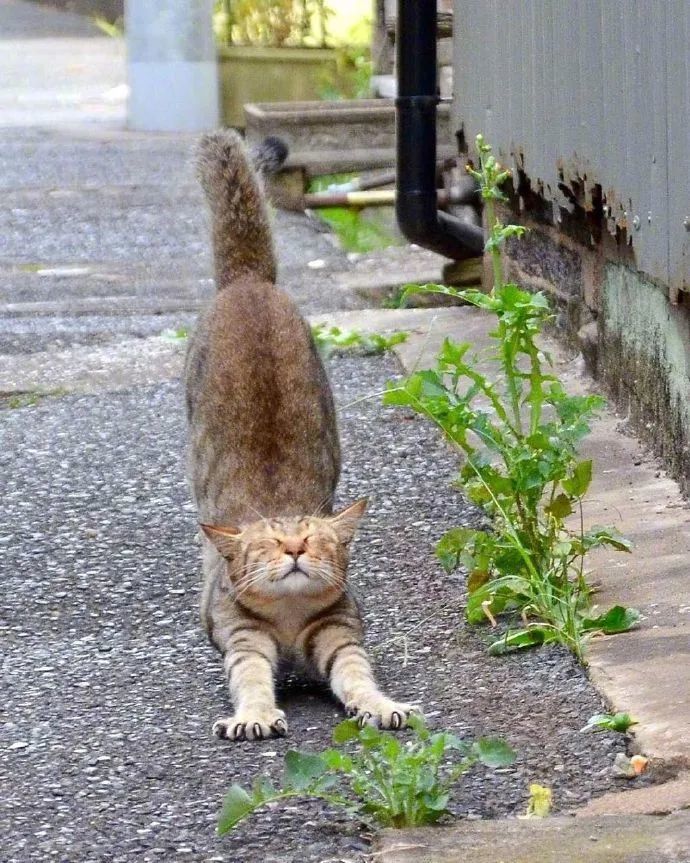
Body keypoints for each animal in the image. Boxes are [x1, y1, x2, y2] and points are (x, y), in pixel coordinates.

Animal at [183, 130, 412, 744]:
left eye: (313, 538)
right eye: (267, 544)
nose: (292, 550)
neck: (287, 623)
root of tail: (249, 282)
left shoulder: (339, 633)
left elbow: (357, 676)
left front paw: (381, 705)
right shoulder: (243, 640)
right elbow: (251, 680)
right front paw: (255, 715)